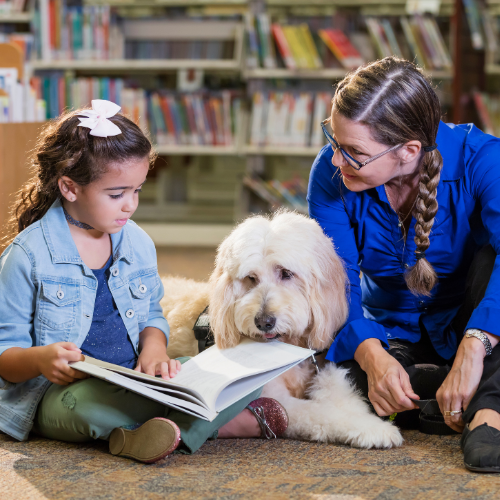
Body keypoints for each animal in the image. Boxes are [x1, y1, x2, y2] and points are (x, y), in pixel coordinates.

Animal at [162, 211, 404, 450]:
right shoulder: (279, 398)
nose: (264, 321)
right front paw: (373, 429)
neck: (291, 343)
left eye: (286, 273)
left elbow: (343, 396)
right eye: (251, 278)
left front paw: (367, 418)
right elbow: (321, 412)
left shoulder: (326, 368)